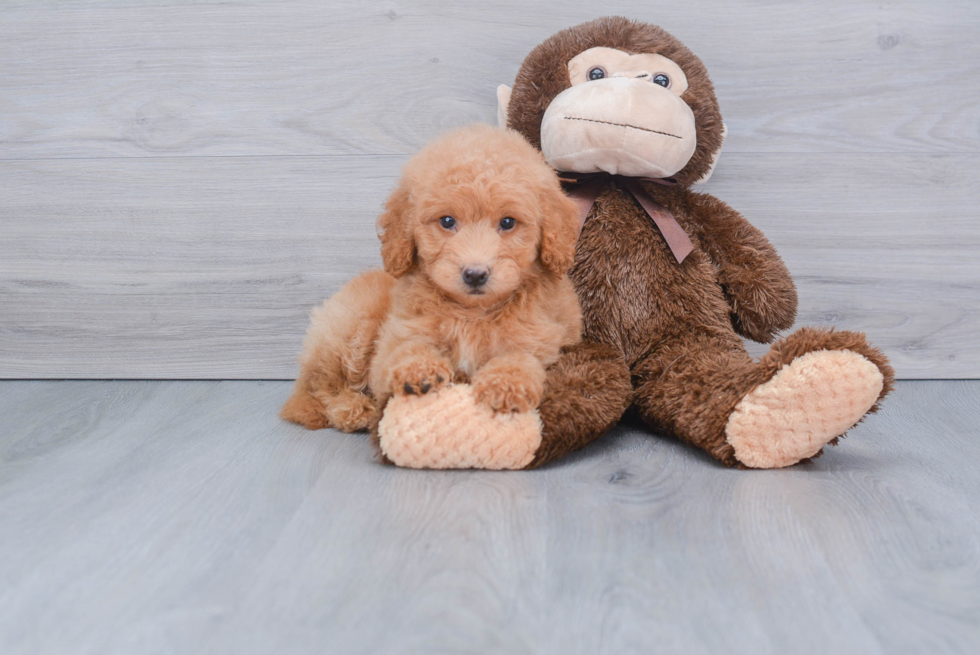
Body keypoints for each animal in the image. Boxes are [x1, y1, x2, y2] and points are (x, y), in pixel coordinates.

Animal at [280, 123, 580, 434]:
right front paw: (419, 370)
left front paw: (505, 384)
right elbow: (406, 348)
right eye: (447, 221)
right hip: (351, 326)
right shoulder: (395, 338)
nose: (475, 274)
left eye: (508, 222)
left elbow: (521, 356)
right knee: (321, 388)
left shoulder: (543, 338)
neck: (472, 314)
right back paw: (354, 409)